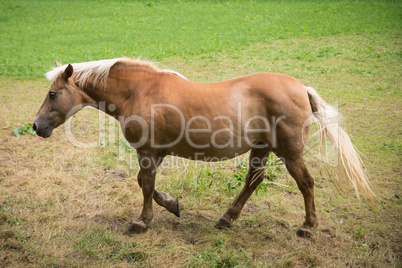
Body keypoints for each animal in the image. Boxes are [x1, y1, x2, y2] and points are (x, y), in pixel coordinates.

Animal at [33, 58, 376, 237]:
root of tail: (300, 88)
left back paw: (307, 226)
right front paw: (173, 205)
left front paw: (142, 222)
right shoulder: (156, 153)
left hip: (290, 153)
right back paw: (226, 219)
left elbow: (145, 186)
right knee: (253, 182)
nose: (36, 126)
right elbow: (147, 185)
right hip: (261, 148)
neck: (139, 91)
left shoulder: (147, 152)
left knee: (306, 183)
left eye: (53, 94)